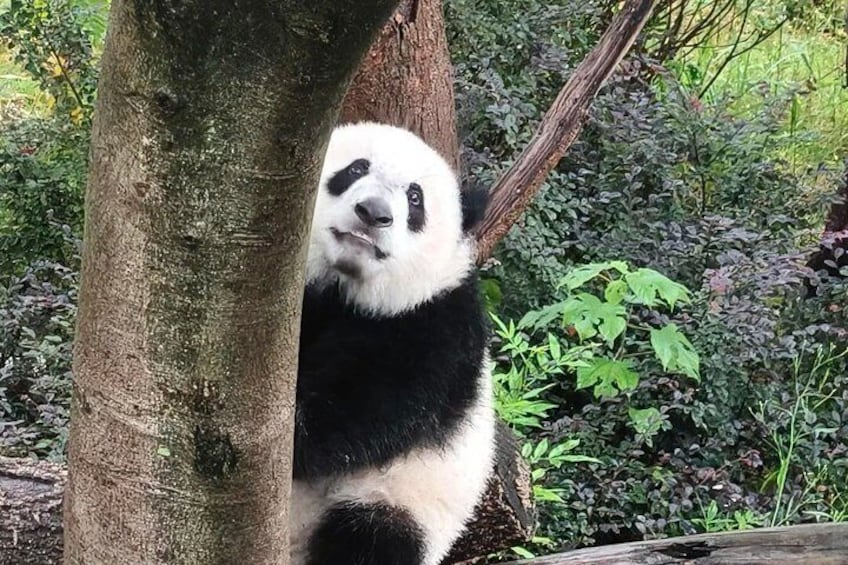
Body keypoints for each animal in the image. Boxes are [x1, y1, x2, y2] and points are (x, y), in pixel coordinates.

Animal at [290, 122, 495, 565]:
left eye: (415, 198)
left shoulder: (434, 325)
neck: (344, 286)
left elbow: (366, 407)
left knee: (369, 539)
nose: (373, 213)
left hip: (395, 501)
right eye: (355, 169)